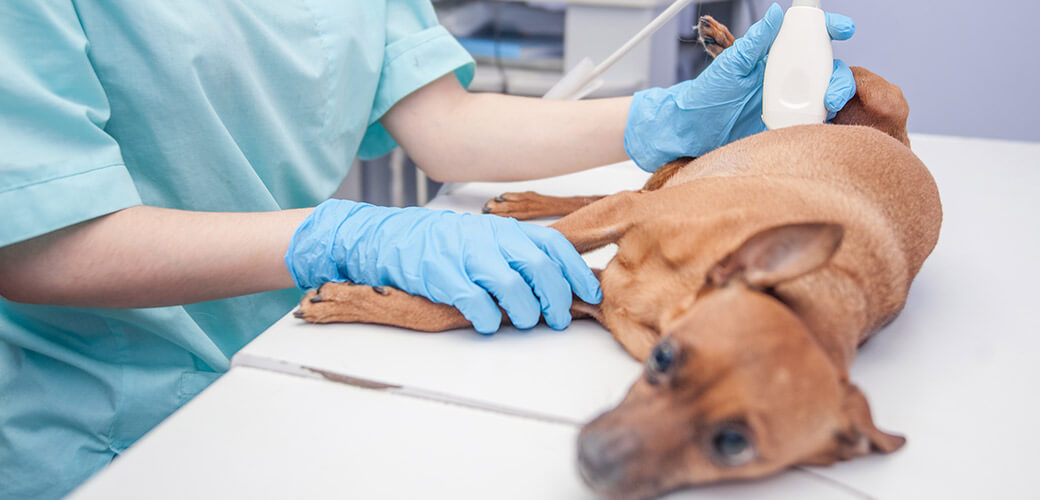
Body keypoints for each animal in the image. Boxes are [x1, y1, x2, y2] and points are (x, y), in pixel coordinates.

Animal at [291, 15, 944, 498]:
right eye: (664, 361)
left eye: (732, 445)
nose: (595, 462)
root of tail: (897, 142)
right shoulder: (622, 224)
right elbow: (508, 264)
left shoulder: (582, 293)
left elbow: (459, 306)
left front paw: (364, 297)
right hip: (865, 99)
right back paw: (735, 49)